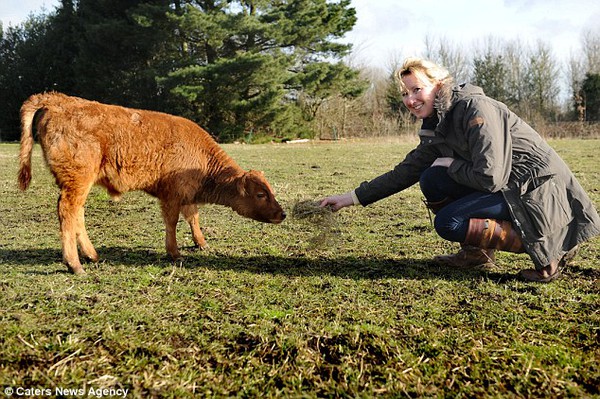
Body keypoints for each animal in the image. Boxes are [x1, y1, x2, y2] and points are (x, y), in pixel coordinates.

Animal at [16, 93, 284, 276]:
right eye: (261, 194)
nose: (281, 214)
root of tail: (56, 100)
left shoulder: (187, 195)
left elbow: (193, 217)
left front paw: (202, 243)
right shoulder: (172, 196)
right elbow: (172, 222)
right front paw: (174, 253)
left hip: (81, 184)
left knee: (77, 214)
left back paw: (92, 256)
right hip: (77, 181)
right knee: (67, 211)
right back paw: (75, 264)